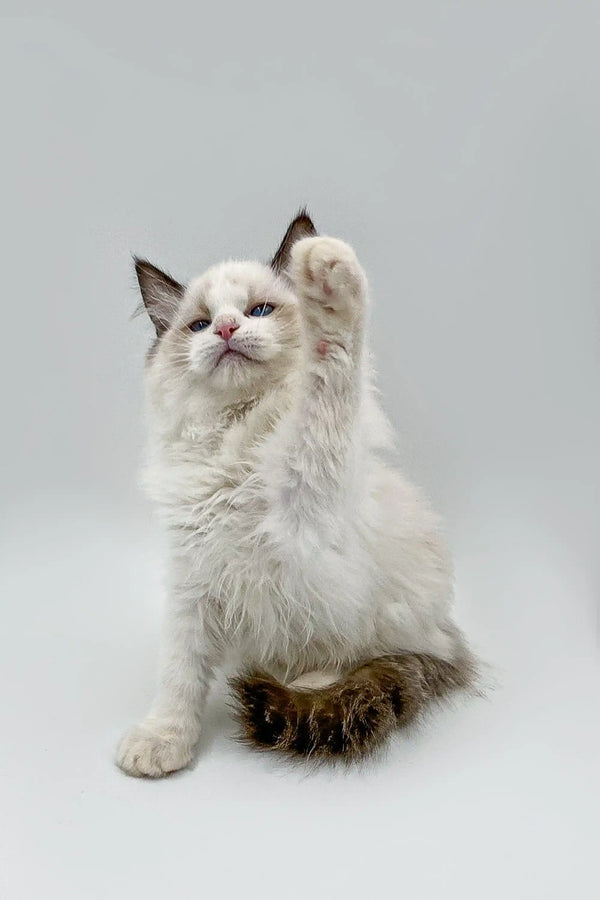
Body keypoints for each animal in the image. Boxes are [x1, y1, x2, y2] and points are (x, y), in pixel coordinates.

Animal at [115, 213, 476, 780]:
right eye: (199, 326)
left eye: (259, 311)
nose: (226, 330)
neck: (236, 440)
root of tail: (445, 631)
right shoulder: (191, 585)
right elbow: (179, 675)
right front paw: (164, 741)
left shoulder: (306, 494)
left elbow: (325, 378)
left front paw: (325, 277)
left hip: (376, 616)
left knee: (363, 660)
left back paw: (308, 684)